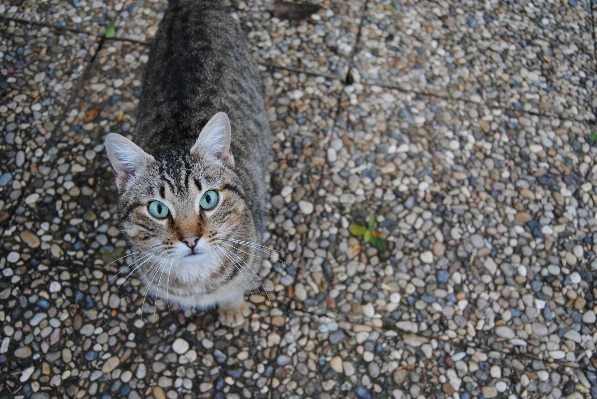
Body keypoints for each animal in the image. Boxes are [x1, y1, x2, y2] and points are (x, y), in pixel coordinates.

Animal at [103, 0, 270, 328]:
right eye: (158, 209)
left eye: (209, 199)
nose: (192, 240)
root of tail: (190, 4)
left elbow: (236, 288)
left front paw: (233, 308)